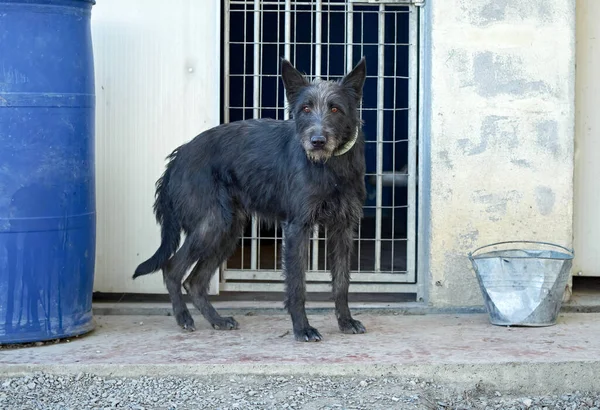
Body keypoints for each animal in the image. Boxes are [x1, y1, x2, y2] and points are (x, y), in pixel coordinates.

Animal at [134, 56, 368, 340]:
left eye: (335, 109)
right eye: (305, 108)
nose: (317, 141)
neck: (330, 166)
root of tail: (178, 157)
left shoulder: (343, 228)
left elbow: (342, 282)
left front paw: (346, 321)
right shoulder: (297, 227)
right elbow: (297, 285)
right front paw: (302, 328)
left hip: (227, 230)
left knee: (195, 281)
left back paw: (217, 319)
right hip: (211, 225)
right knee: (172, 269)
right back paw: (184, 317)